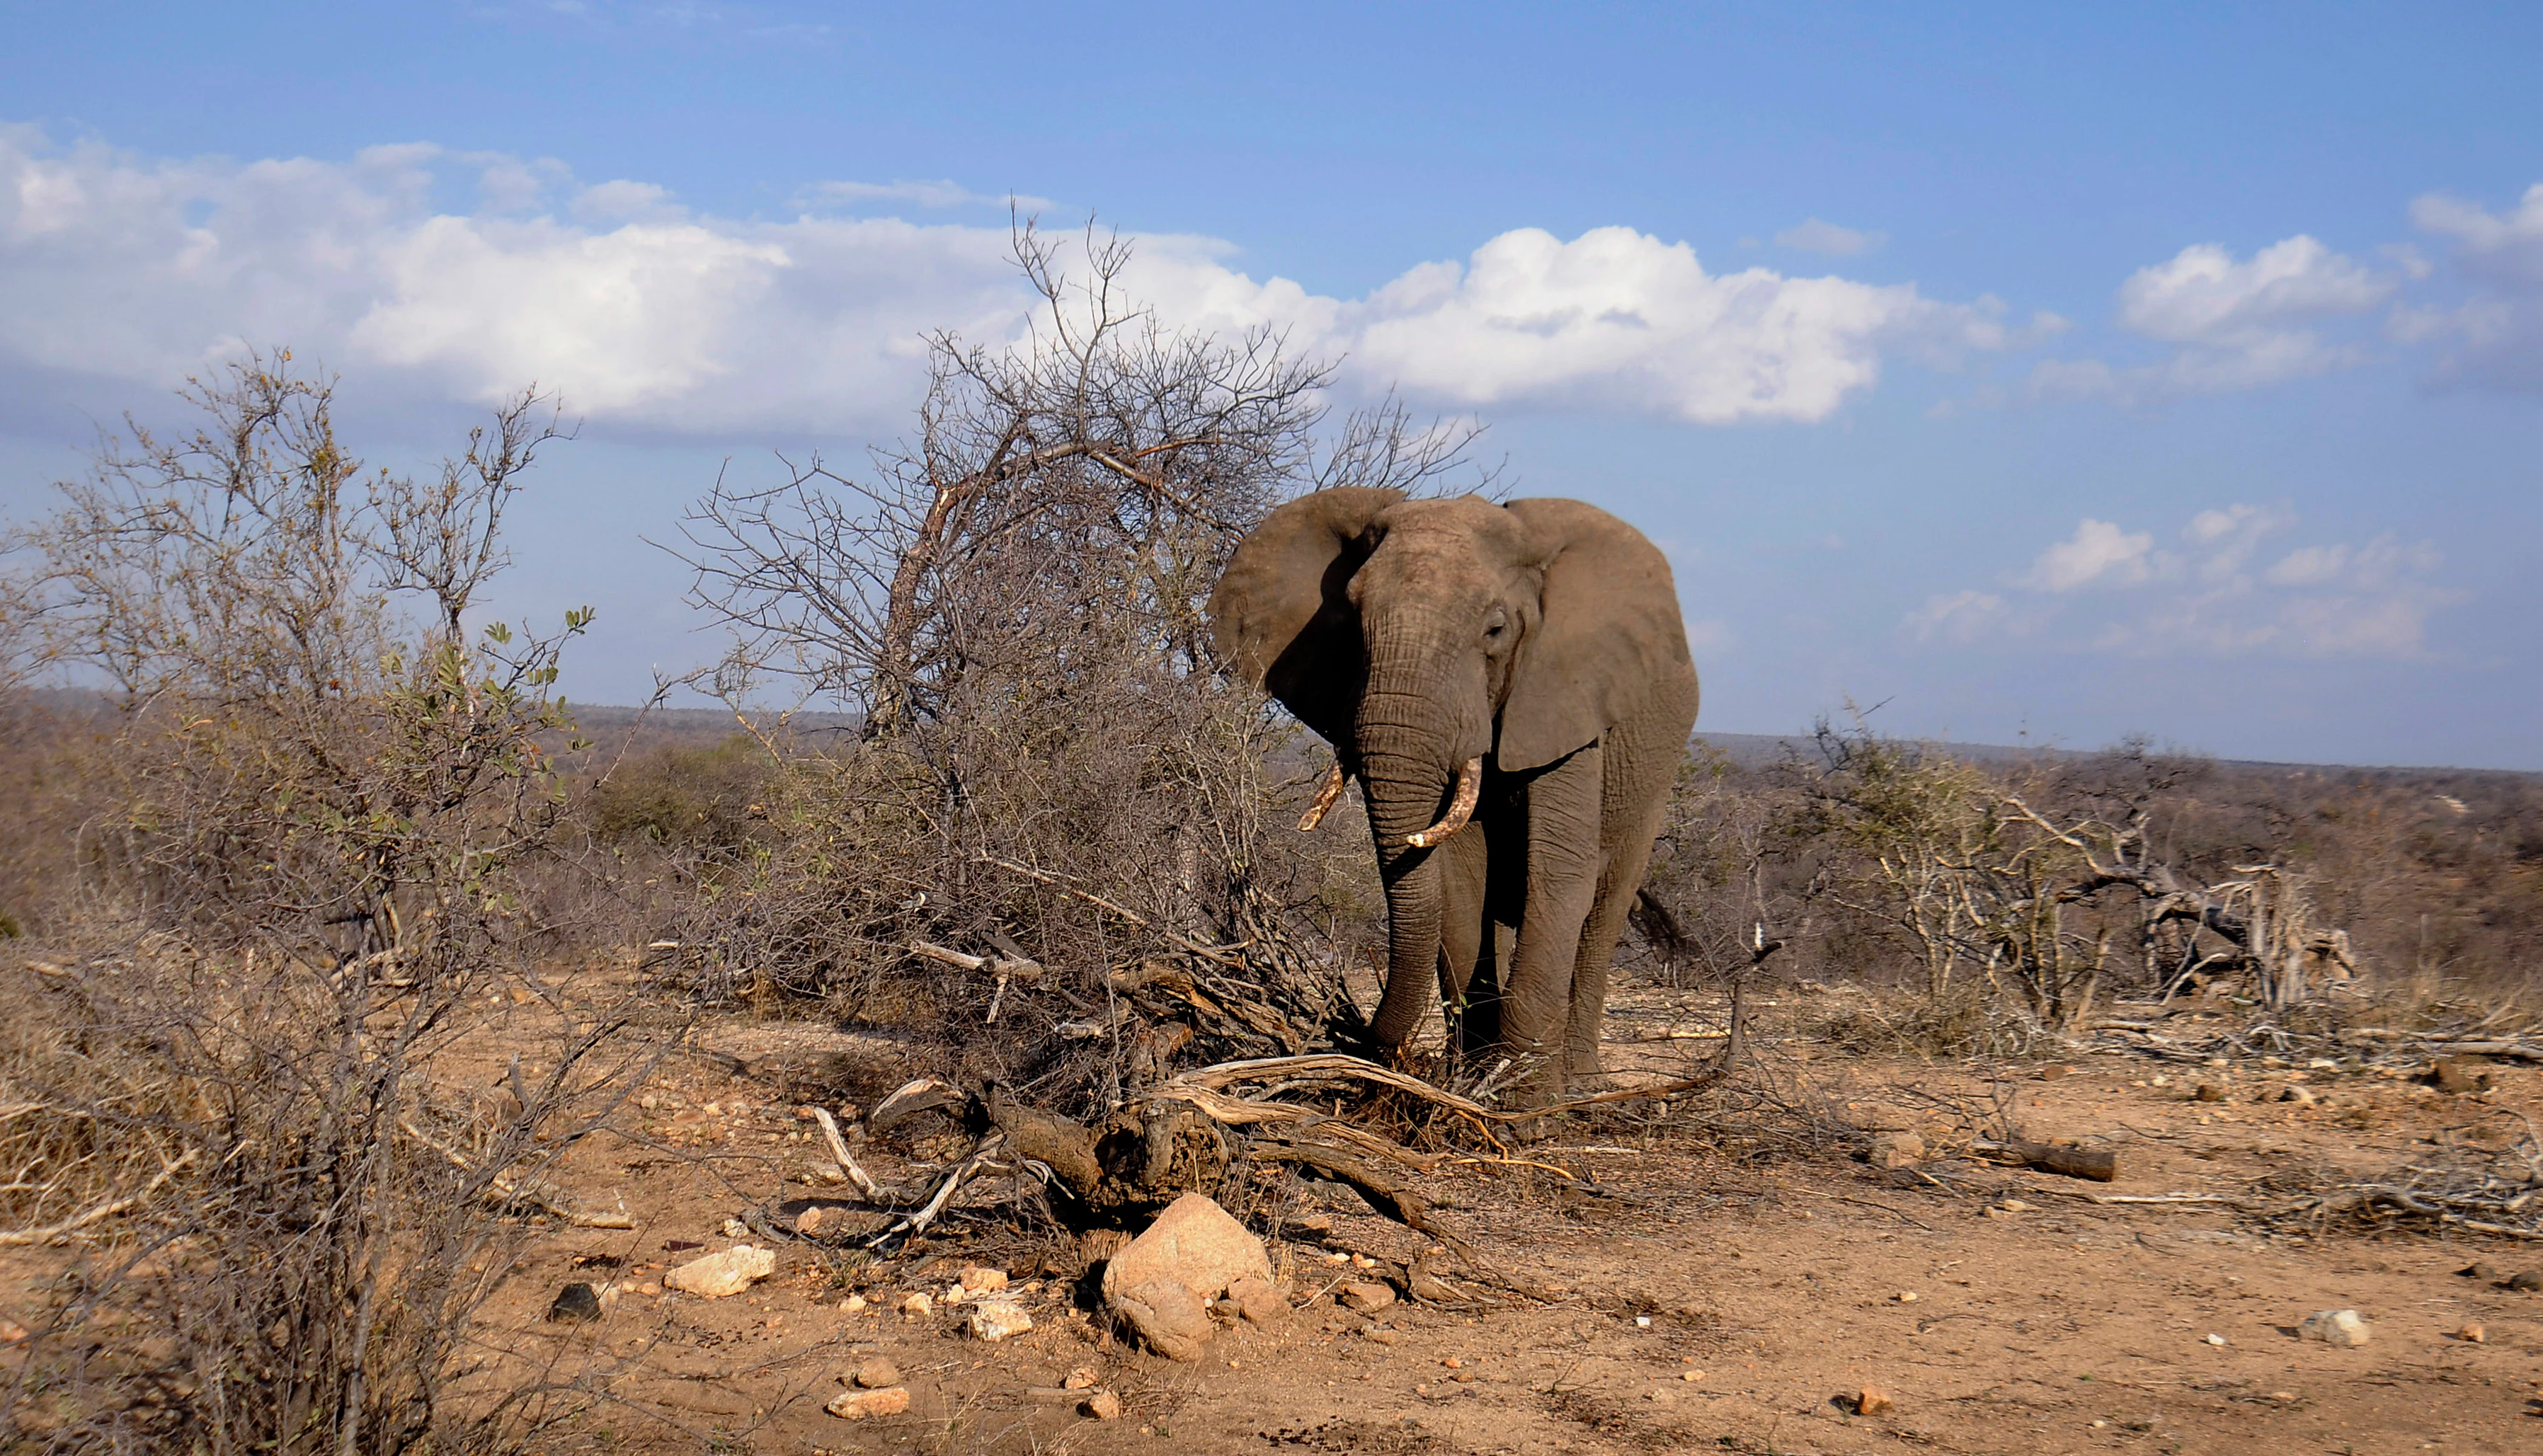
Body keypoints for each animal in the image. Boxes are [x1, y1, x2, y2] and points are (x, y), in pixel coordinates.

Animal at [1207, 487, 1699, 1106]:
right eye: (1351, 622)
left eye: (1495, 631)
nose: (1349, 1031)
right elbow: (1464, 875)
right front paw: (1469, 1084)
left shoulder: (1567, 701)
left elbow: (1559, 871)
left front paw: (1527, 1106)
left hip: (1652, 782)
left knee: (1604, 911)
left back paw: (1584, 1088)